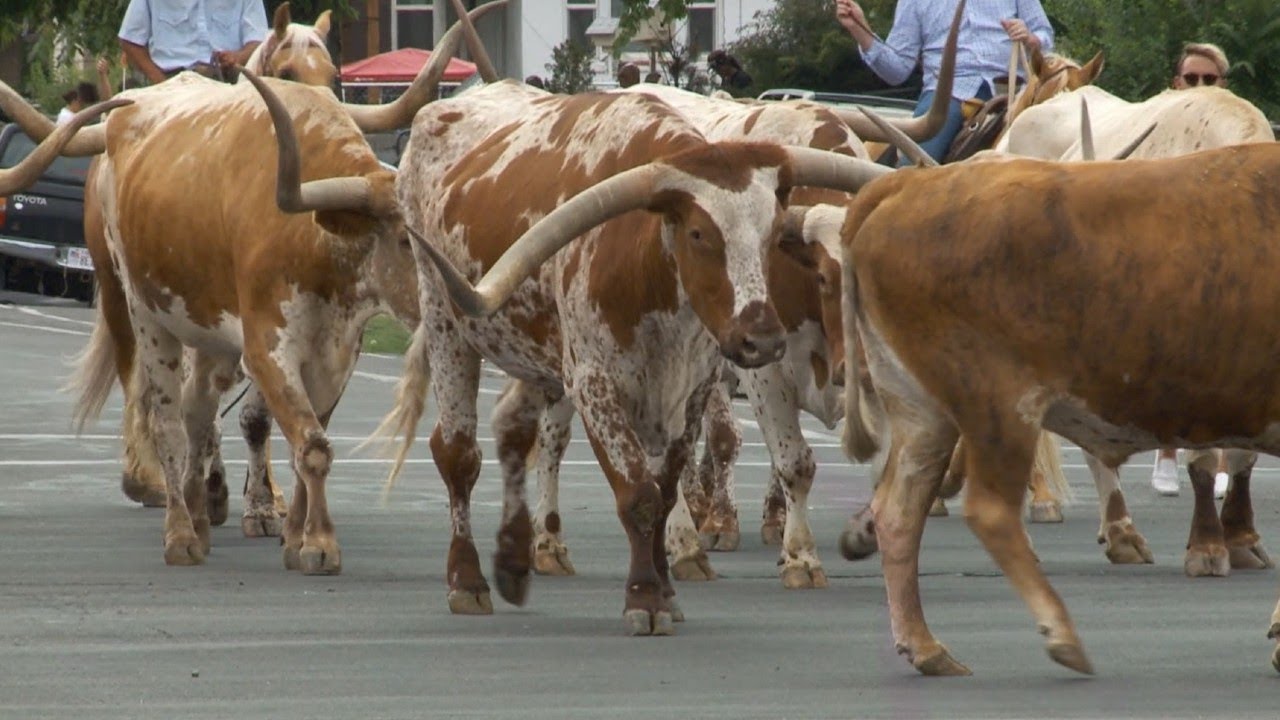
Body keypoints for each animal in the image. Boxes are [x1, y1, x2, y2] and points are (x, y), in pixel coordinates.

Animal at [373, 79, 892, 634]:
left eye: (773, 236)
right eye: (698, 234)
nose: (762, 339)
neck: (648, 268)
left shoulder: (691, 389)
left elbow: (664, 492)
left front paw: (665, 588)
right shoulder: (597, 384)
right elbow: (640, 495)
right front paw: (646, 597)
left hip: (536, 352)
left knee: (519, 433)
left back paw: (518, 560)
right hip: (446, 323)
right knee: (459, 454)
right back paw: (468, 581)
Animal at [832, 141, 1280, 676]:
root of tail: (910, 182)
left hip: (922, 414)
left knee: (899, 512)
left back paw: (927, 647)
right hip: (999, 406)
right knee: (989, 511)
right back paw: (1062, 636)